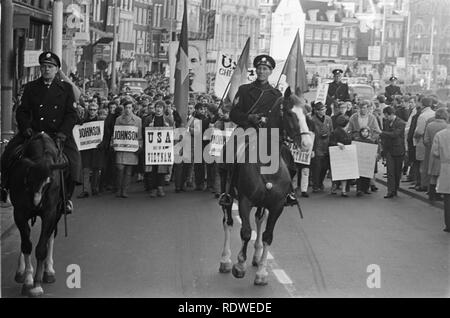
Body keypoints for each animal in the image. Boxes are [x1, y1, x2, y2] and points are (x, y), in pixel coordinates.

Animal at [8, 132, 68, 296]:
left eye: (49, 181)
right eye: (28, 179)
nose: (36, 203)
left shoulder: (50, 213)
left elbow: (41, 248)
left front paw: (37, 284)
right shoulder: (20, 213)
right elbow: (26, 245)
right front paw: (28, 280)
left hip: (57, 214)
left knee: (50, 238)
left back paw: (48, 271)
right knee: (26, 239)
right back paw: (21, 271)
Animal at [219, 91, 312, 286]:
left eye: (307, 114)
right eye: (290, 113)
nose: (307, 143)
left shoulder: (277, 206)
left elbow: (268, 235)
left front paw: (262, 272)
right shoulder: (245, 201)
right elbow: (246, 232)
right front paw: (239, 265)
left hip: (263, 203)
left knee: (260, 219)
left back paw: (256, 256)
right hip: (227, 192)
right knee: (228, 222)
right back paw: (225, 260)